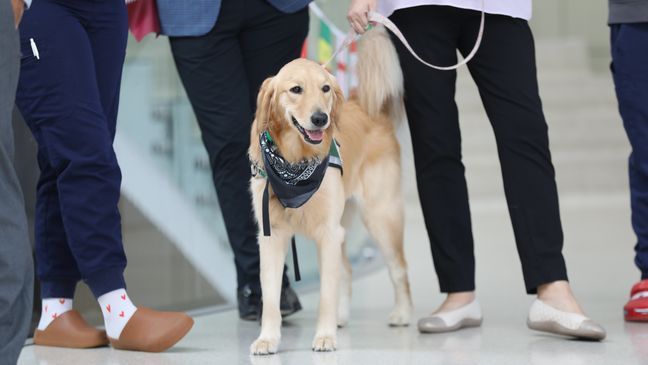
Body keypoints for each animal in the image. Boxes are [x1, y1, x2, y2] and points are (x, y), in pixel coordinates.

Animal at [248, 27, 410, 354]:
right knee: (346, 270)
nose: (320, 118)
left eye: (325, 88)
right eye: (295, 89)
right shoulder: (272, 236)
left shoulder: (327, 232)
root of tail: (369, 106)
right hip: (345, 222)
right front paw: (268, 338)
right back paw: (342, 318)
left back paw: (401, 313)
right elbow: (270, 298)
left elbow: (326, 293)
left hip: (380, 216)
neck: (294, 163)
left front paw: (324, 336)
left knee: (399, 267)